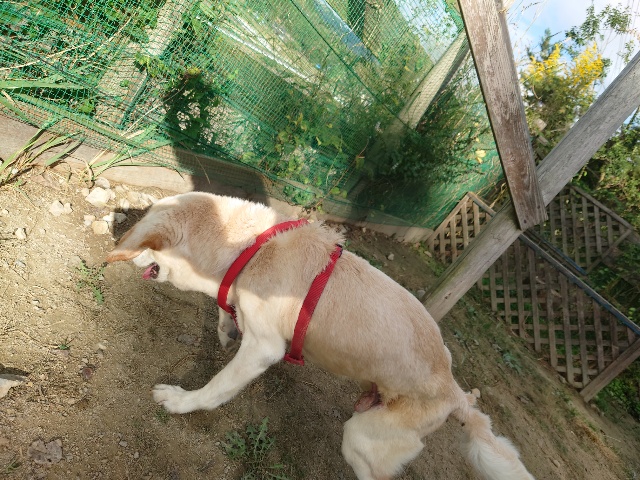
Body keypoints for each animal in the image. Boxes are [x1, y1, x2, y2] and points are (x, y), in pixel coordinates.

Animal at [106, 192, 534, 480]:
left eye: (145, 244)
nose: (130, 253)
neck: (250, 249)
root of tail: (456, 394)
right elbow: (226, 311)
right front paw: (226, 326)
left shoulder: (263, 349)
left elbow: (216, 388)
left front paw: (181, 401)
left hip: (362, 440)